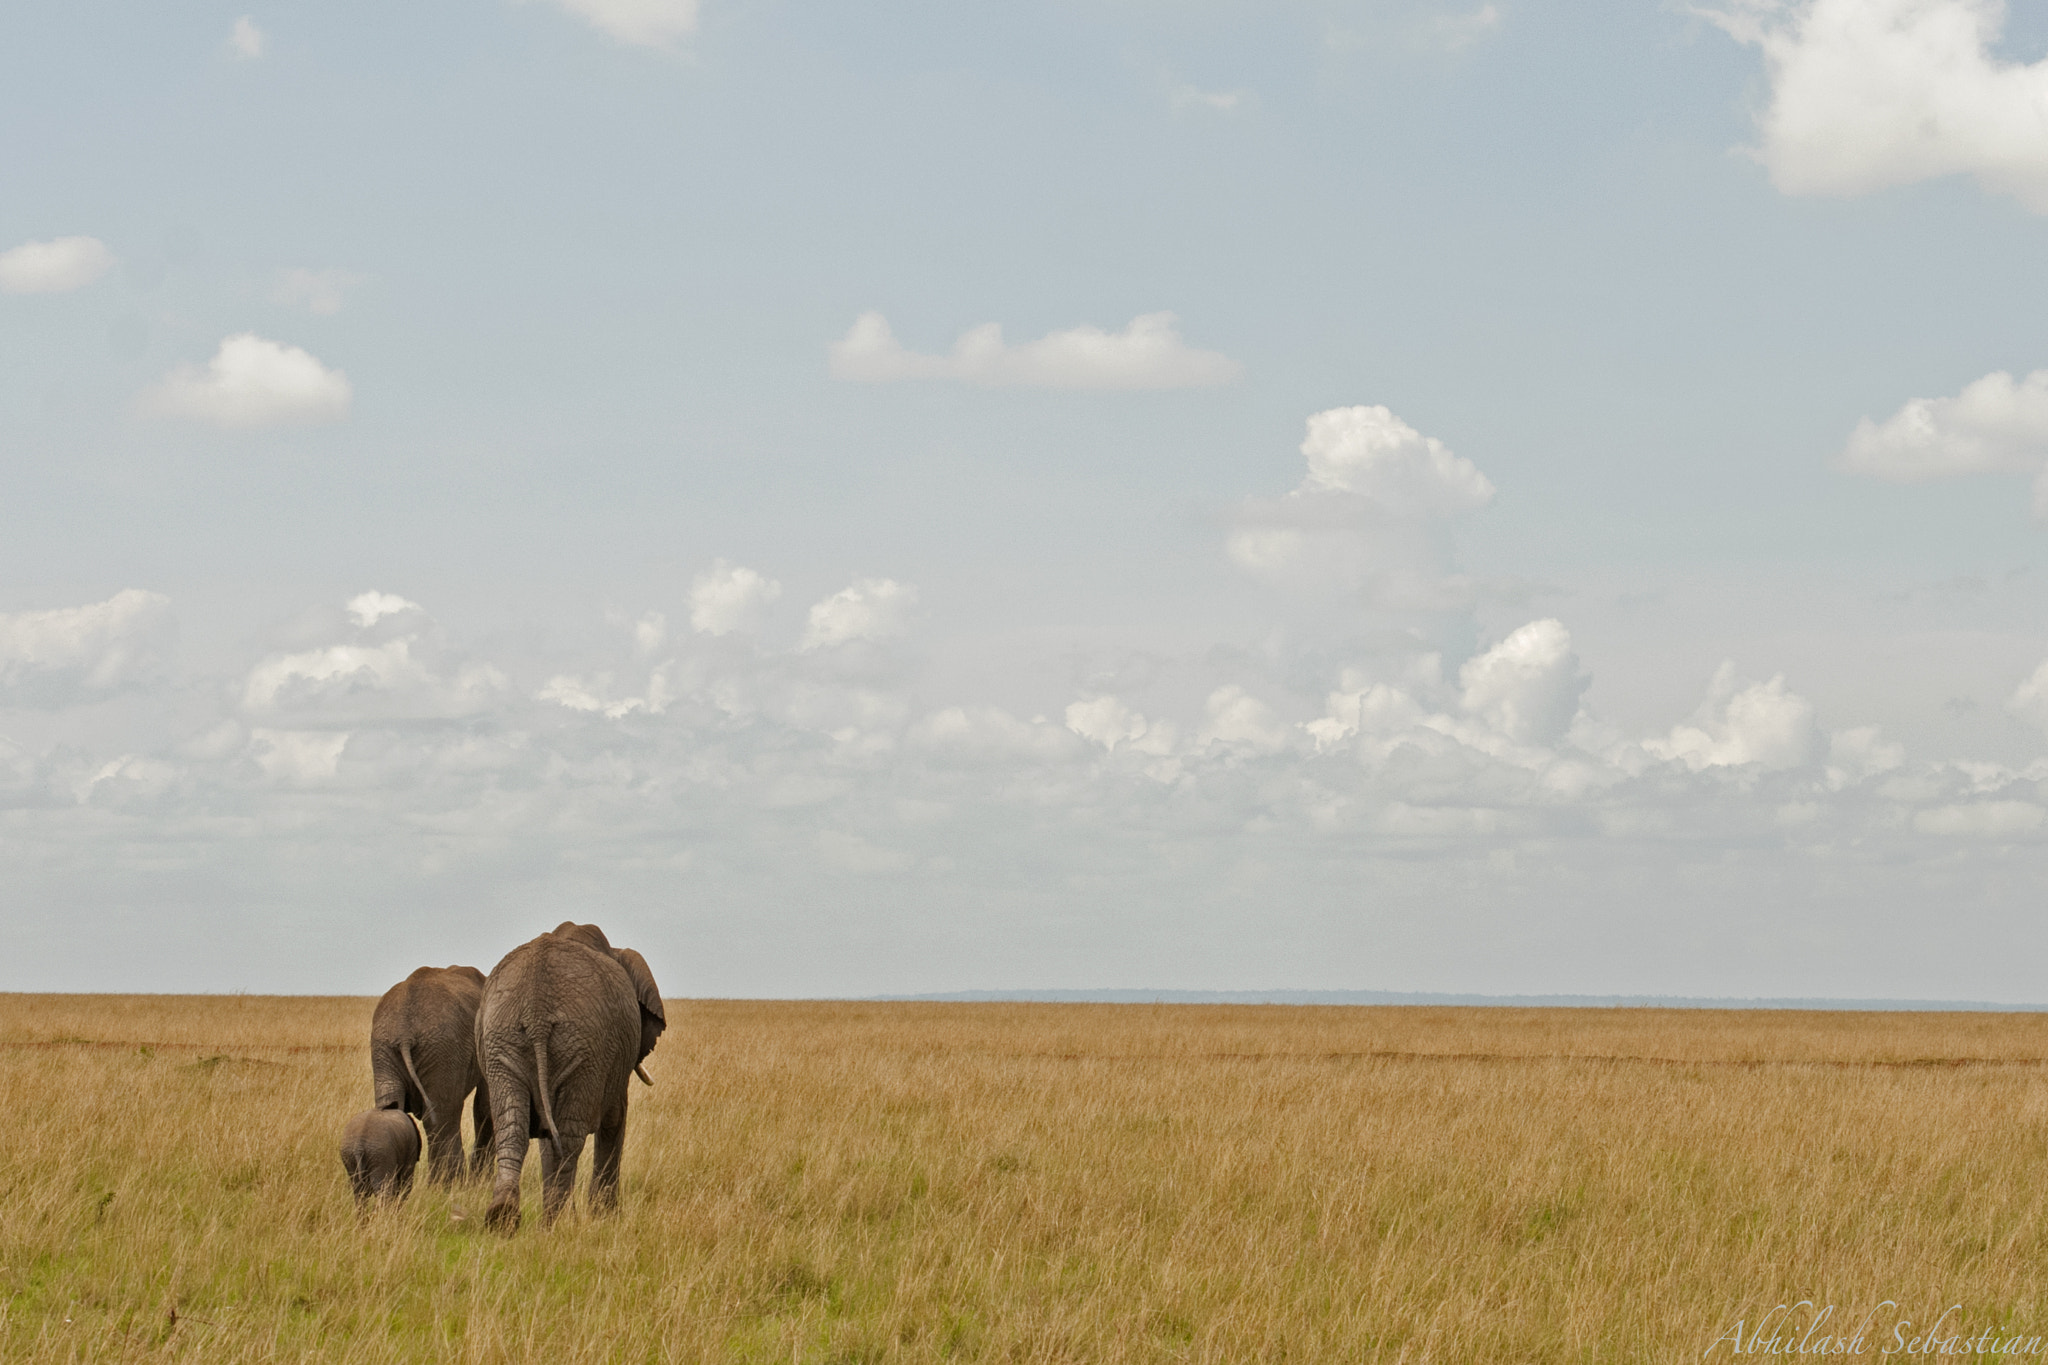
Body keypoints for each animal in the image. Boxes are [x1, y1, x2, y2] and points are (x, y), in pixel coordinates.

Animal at [370, 965, 494, 1182]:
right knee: (444, 1114)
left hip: (385, 1048)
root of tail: (404, 1030)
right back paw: (448, 1183)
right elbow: (486, 1105)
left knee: (392, 1107)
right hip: (443, 1050)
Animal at [477, 922, 666, 1231]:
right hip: (585, 1051)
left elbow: (545, 1138)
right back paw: (556, 1222)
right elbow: (615, 1119)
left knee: (512, 1126)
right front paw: (605, 1215)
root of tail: (536, 1007)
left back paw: (504, 1217)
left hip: (501, 1039)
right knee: (567, 1137)